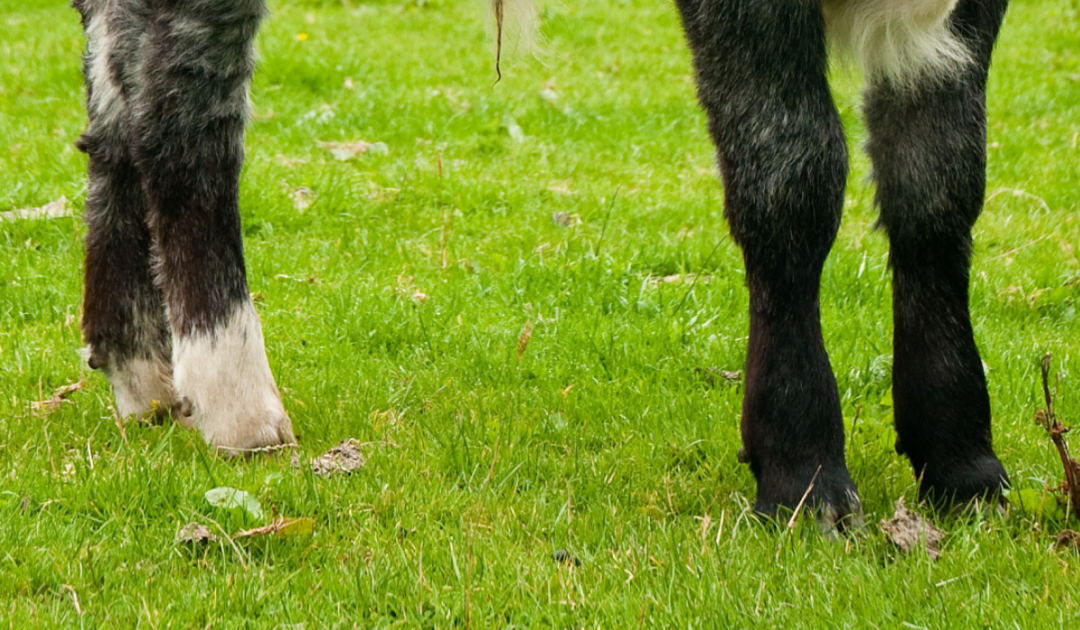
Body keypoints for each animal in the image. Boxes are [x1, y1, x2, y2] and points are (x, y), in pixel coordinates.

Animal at [73, 0, 1009, 525]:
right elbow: (792, 174)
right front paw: (804, 473)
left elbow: (939, 177)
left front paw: (961, 459)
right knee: (180, 105)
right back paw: (234, 396)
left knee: (116, 94)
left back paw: (142, 368)